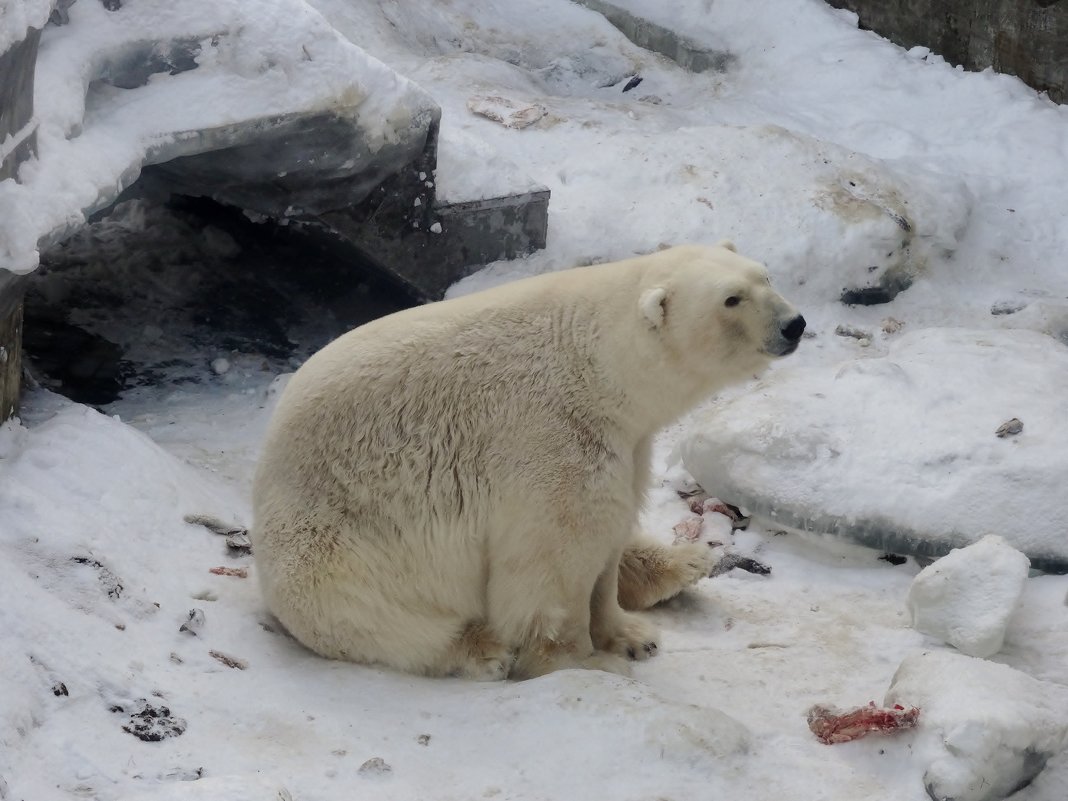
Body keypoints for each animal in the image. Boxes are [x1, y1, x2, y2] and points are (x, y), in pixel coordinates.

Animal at [249, 243, 803, 679]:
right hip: (329, 547)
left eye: (766, 276)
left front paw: (630, 634)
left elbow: (609, 532)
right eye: (731, 299)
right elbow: (554, 566)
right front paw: (587, 662)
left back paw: (683, 563)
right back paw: (482, 649)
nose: (794, 324)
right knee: (375, 613)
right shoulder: (548, 442)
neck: (595, 367)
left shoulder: (624, 443)